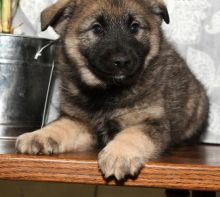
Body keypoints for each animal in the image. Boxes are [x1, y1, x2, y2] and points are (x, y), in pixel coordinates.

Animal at [15, 0, 208, 181]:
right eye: (97, 28)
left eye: (134, 27)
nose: (121, 61)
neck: (107, 91)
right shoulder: (79, 121)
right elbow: (59, 126)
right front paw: (38, 136)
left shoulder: (152, 122)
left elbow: (133, 133)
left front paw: (119, 154)